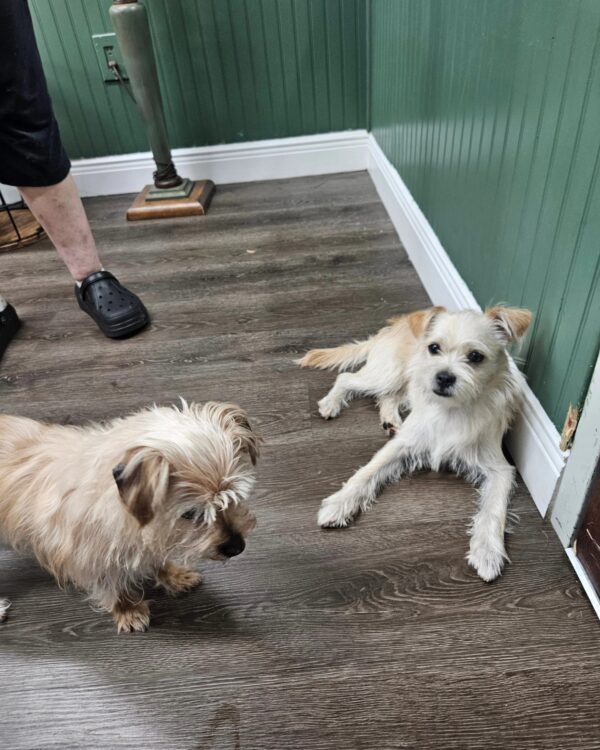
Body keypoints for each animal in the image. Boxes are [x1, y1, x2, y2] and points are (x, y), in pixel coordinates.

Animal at [1, 402, 262, 632]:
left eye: (235, 498)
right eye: (192, 513)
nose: (237, 547)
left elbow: (156, 558)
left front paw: (174, 575)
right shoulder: (88, 556)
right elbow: (111, 586)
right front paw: (127, 609)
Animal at [298, 306, 532, 588]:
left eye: (475, 356)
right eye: (434, 348)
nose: (443, 377)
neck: (451, 409)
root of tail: (397, 323)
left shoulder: (499, 469)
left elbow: (493, 511)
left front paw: (487, 551)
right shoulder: (401, 446)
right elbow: (365, 473)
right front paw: (339, 504)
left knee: (389, 397)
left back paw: (390, 420)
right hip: (387, 374)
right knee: (347, 378)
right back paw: (331, 403)